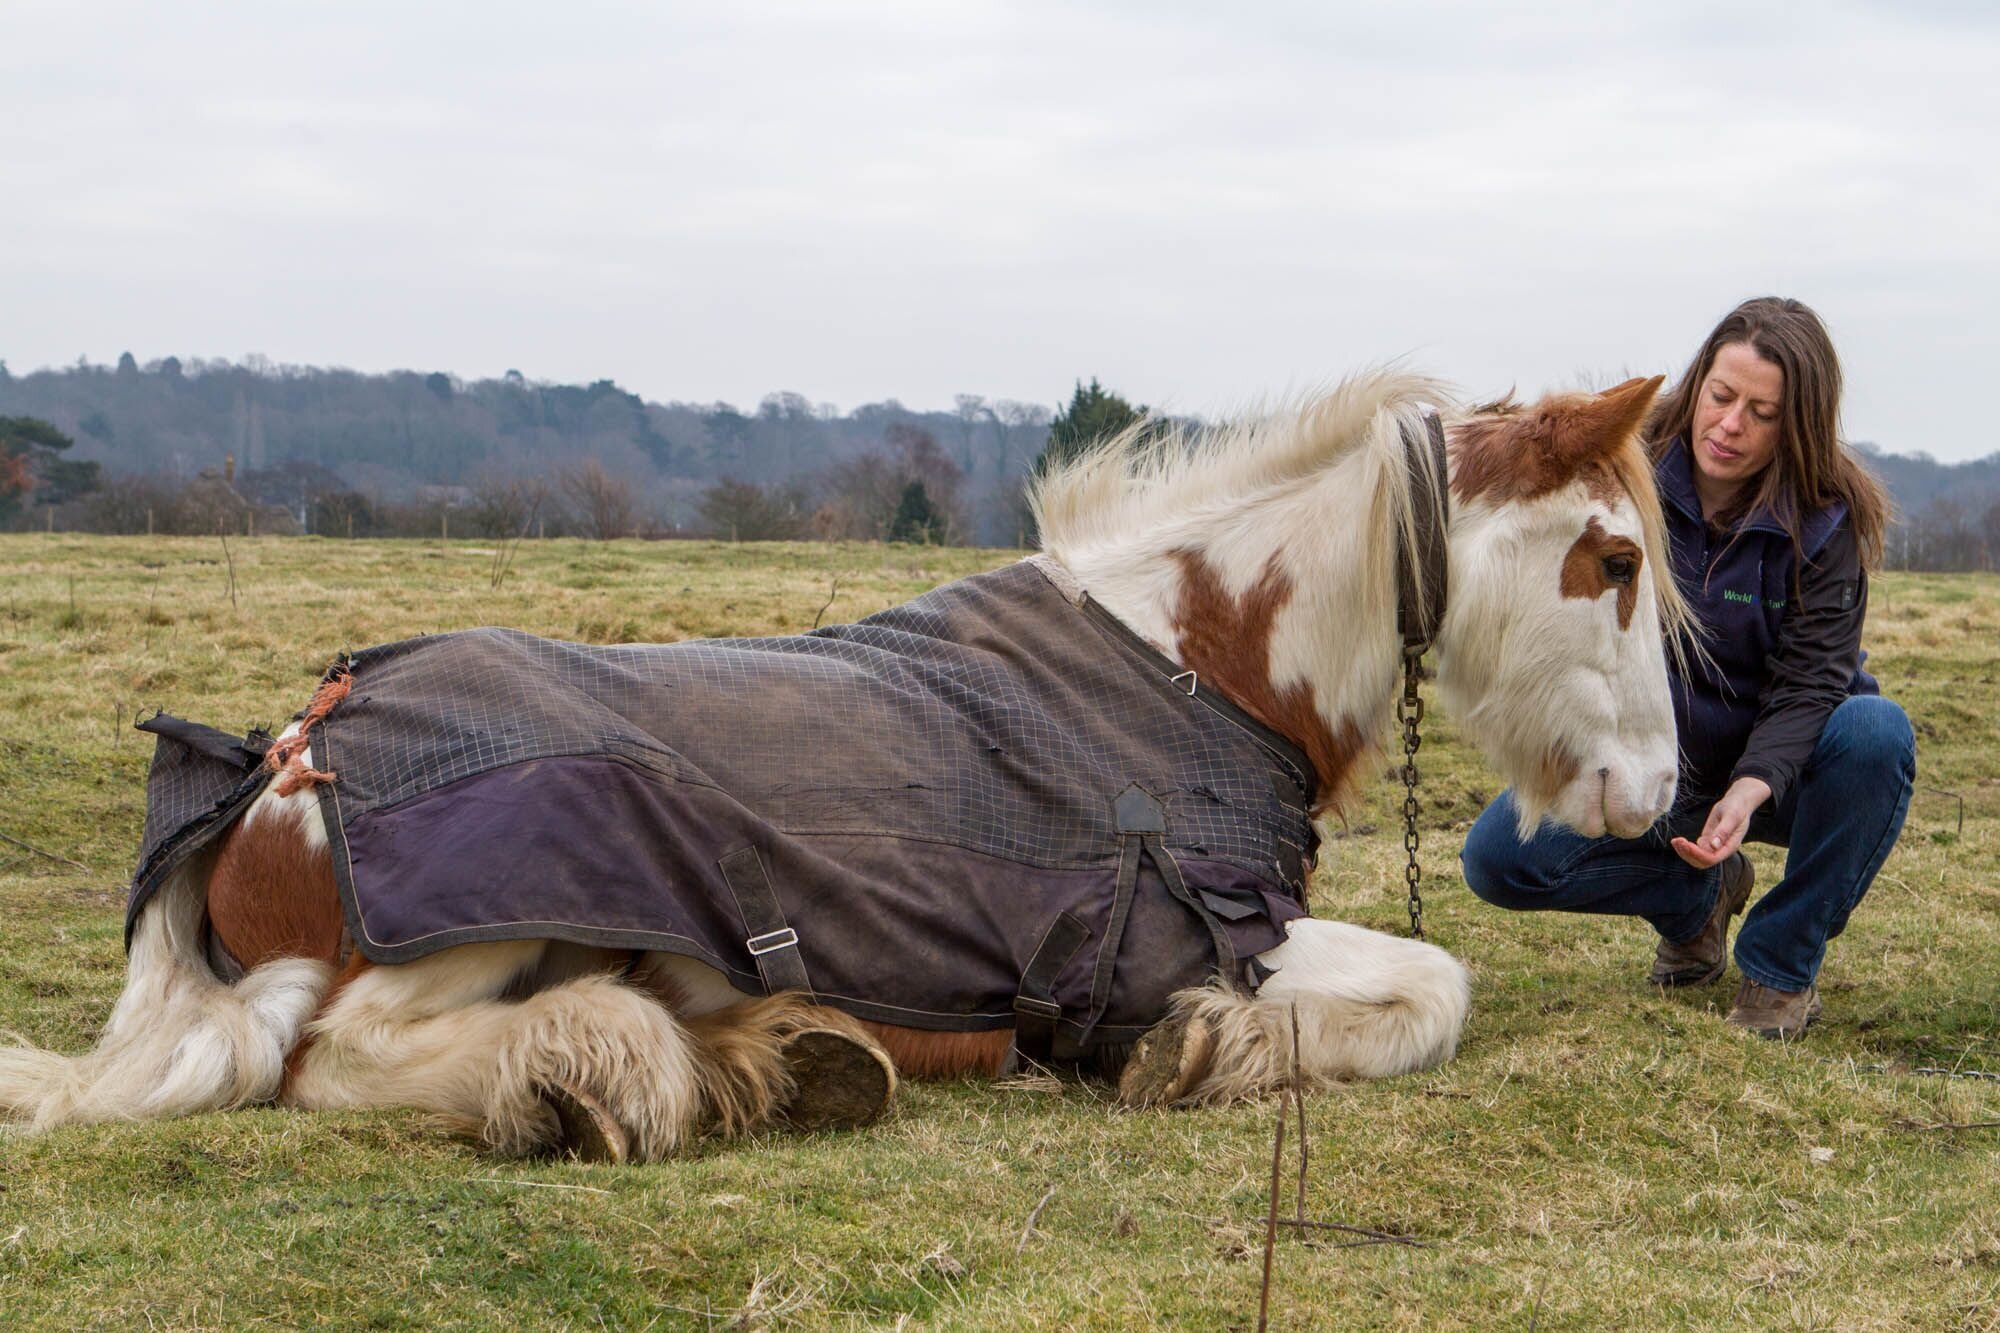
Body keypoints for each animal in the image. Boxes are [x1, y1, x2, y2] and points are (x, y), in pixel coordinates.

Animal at [0, 368, 1688, 1160]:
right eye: (1611, 558)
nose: (1662, 799)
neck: (1187, 658)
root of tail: (285, 760)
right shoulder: (1209, 935)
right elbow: (1433, 987)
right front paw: (1209, 1051)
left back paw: (768, 1053)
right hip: (487, 925)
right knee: (335, 1059)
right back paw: (635, 1064)